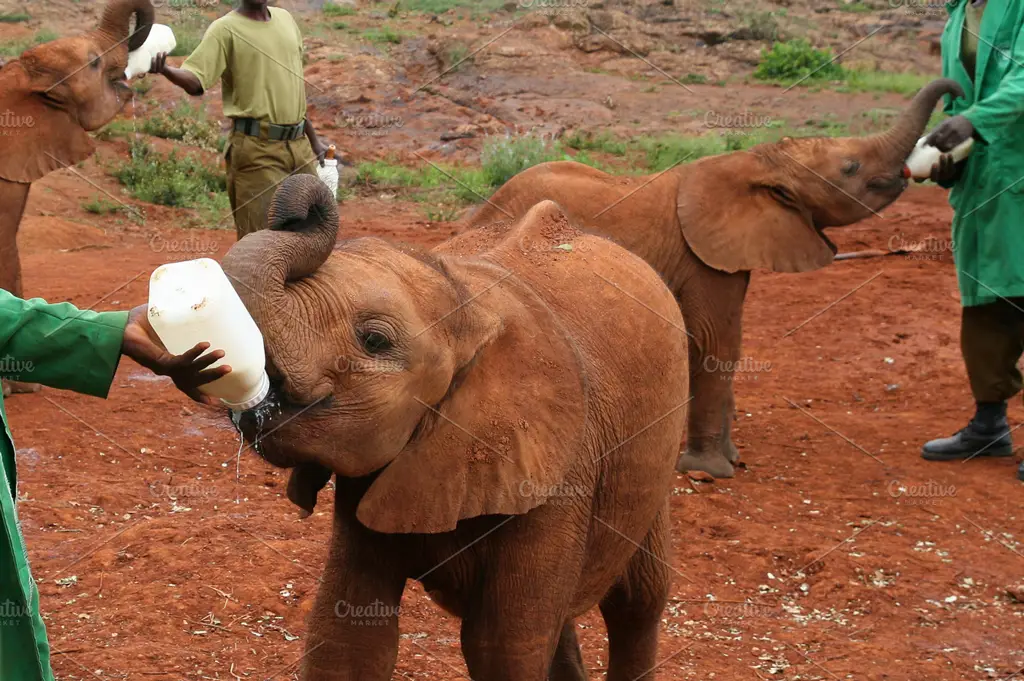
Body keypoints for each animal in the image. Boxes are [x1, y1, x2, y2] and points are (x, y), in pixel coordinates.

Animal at [224, 175, 688, 679]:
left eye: (374, 340)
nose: (301, 207)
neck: (467, 298)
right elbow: (348, 633)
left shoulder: (560, 474)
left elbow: (502, 647)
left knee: (637, 600)